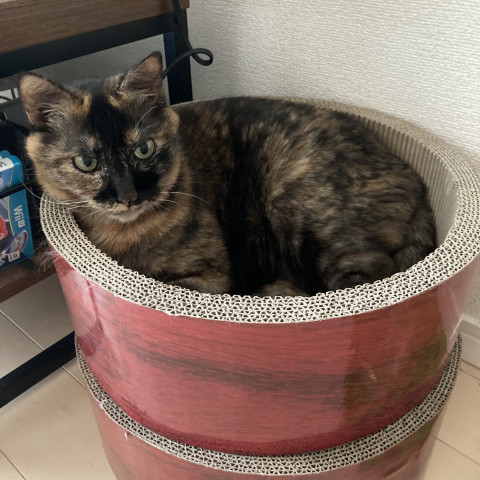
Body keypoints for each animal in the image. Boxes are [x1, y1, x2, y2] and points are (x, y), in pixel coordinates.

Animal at [18, 52, 436, 296]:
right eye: (87, 162)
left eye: (144, 149)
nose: (128, 196)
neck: (121, 238)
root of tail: (415, 180)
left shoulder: (208, 278)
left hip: (299, 204)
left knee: (366, 278)